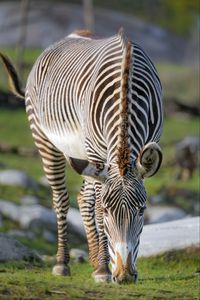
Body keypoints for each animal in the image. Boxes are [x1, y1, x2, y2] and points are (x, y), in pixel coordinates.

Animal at [0, 29, 162, 284]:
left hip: (84, 157)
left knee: (83, 198)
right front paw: (104, 269)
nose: (124, 276)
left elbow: (92, 204)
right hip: (46, 140)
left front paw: (102, 267)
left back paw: (94, 262)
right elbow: (96, 210)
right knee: (61, 199)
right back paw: (62, 263)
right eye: (108, 211)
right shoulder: (96, 154)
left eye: (142, 210)